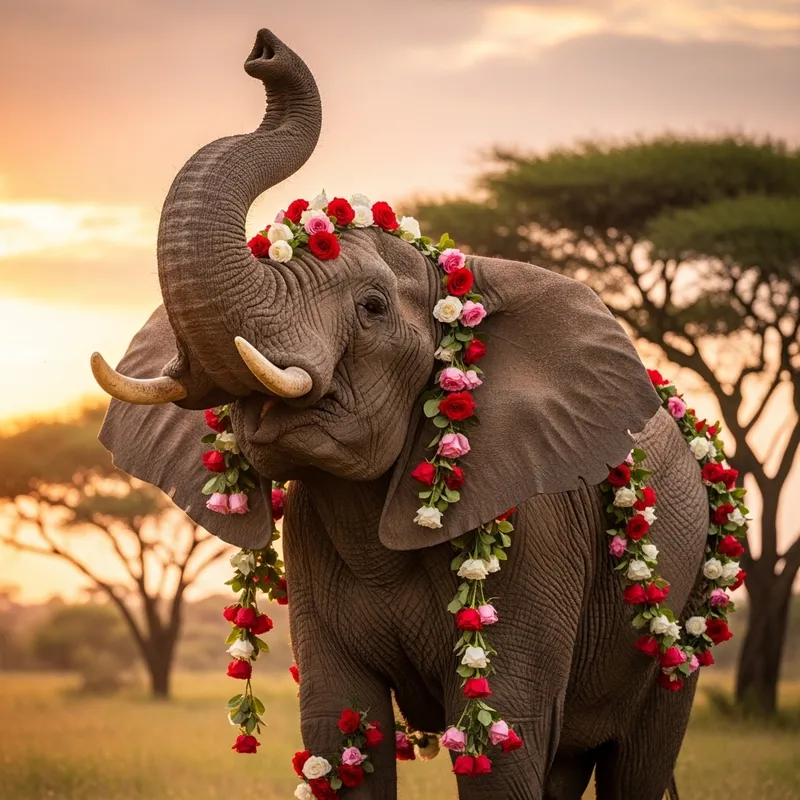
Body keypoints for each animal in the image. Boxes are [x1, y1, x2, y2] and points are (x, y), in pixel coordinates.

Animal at [92, 28, 710, 800]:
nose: (263, 50)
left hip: (684, 607)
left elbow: (507, 745)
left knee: (638, 757)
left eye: (372, 307)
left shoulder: (537, 537)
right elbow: (338, 731)